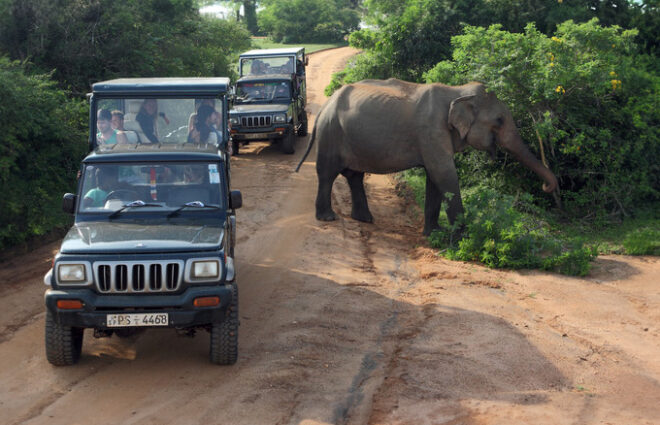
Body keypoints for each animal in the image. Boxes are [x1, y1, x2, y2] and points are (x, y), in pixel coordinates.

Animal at [296, 79, 560, 235]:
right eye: (499, 120)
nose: (548, 187)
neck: (458, 92)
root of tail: (325, 105)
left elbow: (435, 178)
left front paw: (435, 234)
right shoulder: (431, 130)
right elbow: (444, 173)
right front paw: (463, 238)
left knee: (354, 175)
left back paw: (365, 220)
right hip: (331, 132)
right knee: (328, 173)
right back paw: (328, 218)